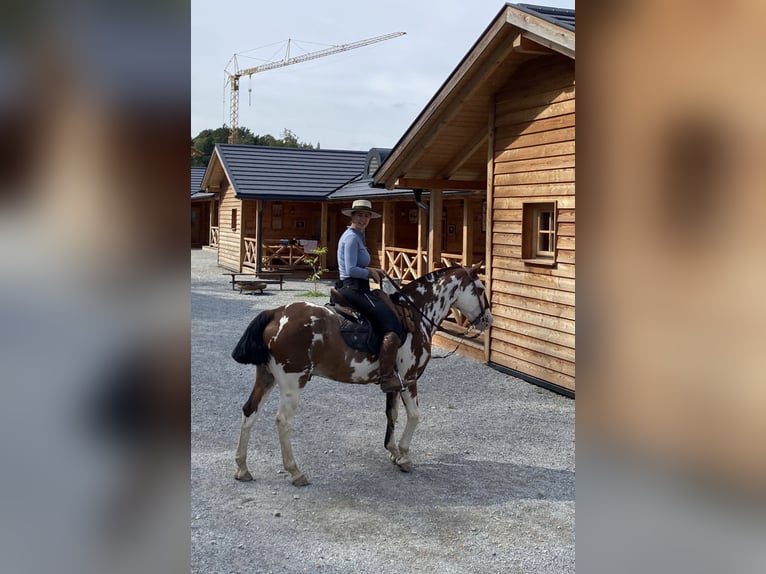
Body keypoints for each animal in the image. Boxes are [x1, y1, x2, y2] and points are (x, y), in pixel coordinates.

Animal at [231, 264, 492, 486]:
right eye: (481, 289)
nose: (488, 320)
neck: (416, 315)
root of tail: (276, 313)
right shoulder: (409, 379)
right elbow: (415, 416)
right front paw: (404, 456)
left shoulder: (394, 383)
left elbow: (392, 415)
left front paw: (393, 452)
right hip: (292, 383)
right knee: (283, 421)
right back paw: (295, 472)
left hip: (266, 376)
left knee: (249, 411)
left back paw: (242, 468)